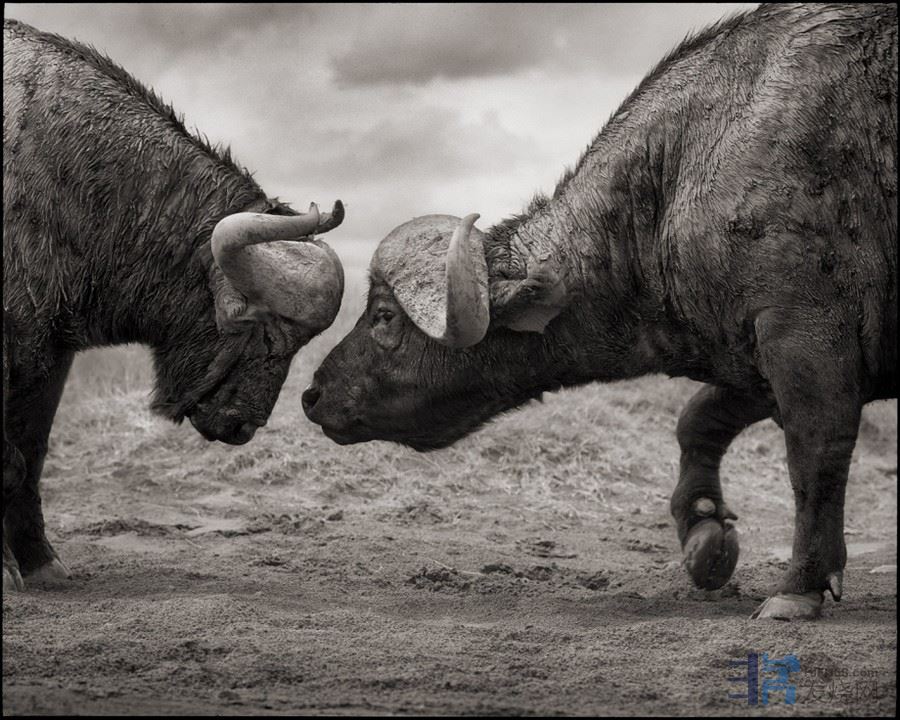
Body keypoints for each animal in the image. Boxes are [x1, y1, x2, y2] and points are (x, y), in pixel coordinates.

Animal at [3, 20, 345, 591]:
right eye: (259, 326)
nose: (243, 426)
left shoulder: (47, 356)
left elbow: (29, 458)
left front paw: (39, 561)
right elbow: (7, 459)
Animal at [304, 4, 897, 620]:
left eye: (384, 315)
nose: (312, 394)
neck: (678, 174)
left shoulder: (804, 337)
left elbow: (815, 453)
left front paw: (798, 586)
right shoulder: (750, 354)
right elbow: (698, 419)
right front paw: (704, 531)